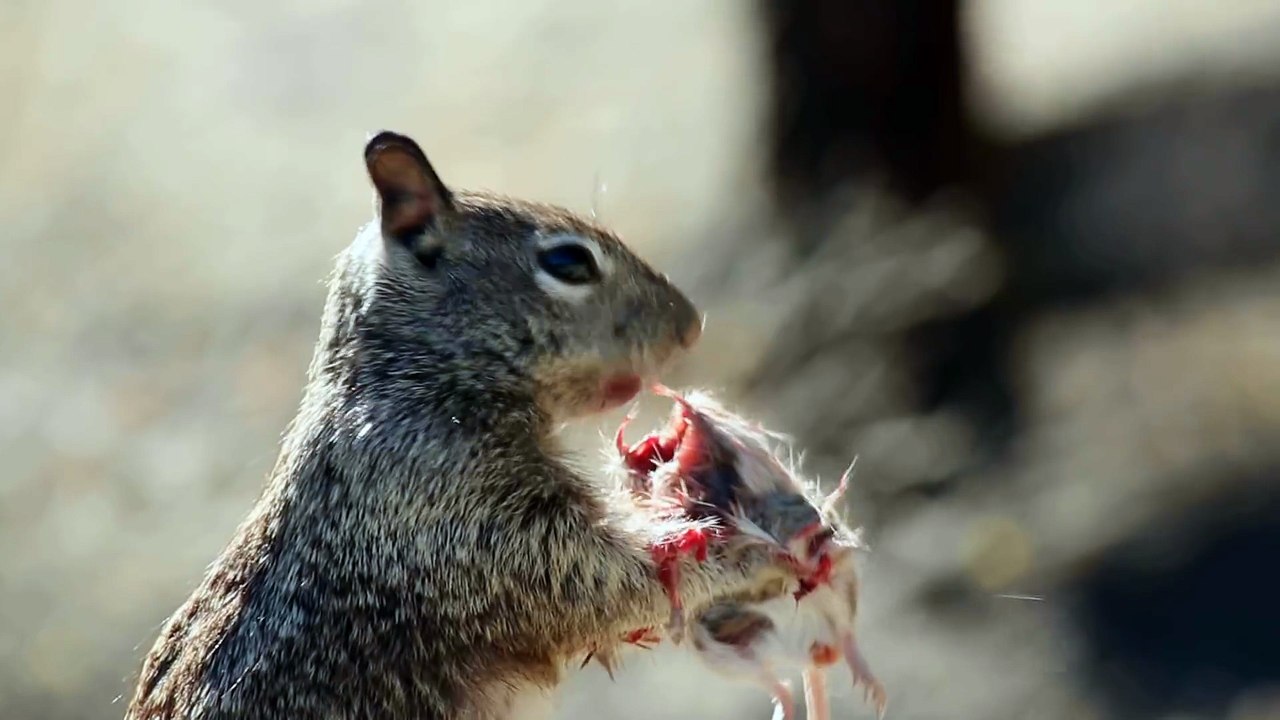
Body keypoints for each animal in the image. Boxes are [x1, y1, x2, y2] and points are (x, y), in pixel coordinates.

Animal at [124, 131, 792, 720]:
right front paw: (751, 561)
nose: (691, 325)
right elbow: (610, 586)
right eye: (568, 261)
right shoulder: (474, 521)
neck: (414, 381)